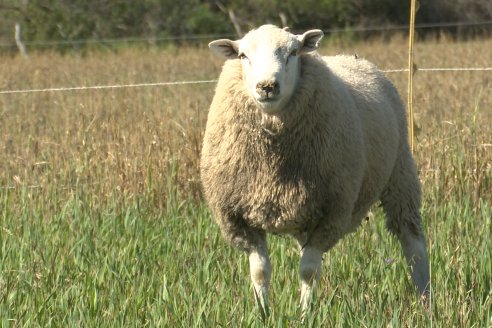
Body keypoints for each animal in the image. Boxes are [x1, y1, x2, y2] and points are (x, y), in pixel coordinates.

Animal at [200, 25, 430, 318]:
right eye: (243, 56)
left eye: (293, 52)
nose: (267, 86)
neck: (273, 167)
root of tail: (353, 57)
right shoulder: (239, 218)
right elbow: (260, 272)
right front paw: (263, 313)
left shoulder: (330, 213)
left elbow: (308, 271)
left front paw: (304, 315)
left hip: (400, 173)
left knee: (413, 243)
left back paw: (426, 300)